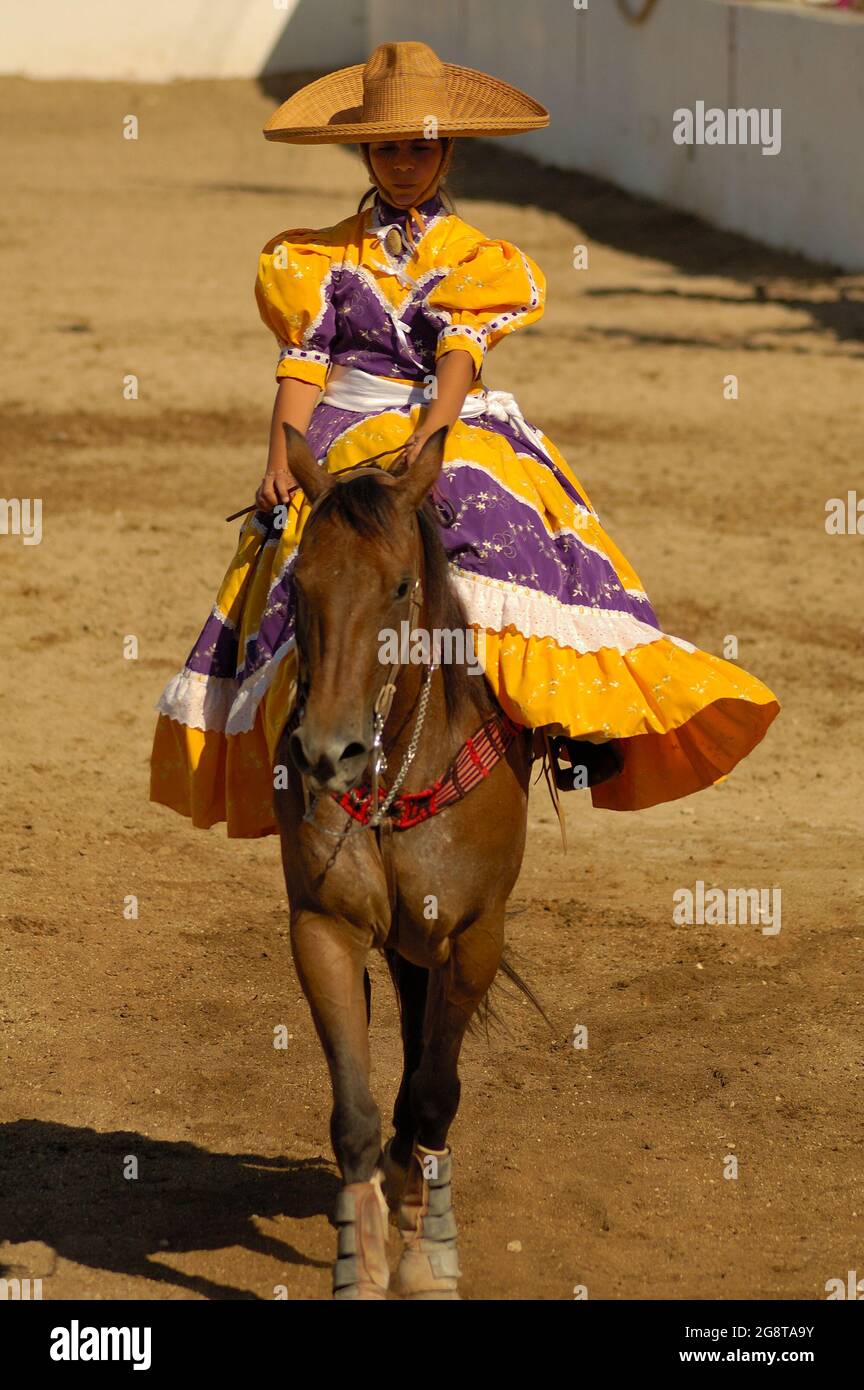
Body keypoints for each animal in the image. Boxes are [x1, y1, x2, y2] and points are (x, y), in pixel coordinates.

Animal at [276, 419, 536, 1289]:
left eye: (397, 587)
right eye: (297, 586)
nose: (328, 753)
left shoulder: (476, 934)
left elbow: (434, 1094)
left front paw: (429, 1253)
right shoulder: (322, 927)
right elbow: (353, 1116)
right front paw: (360, 1261)